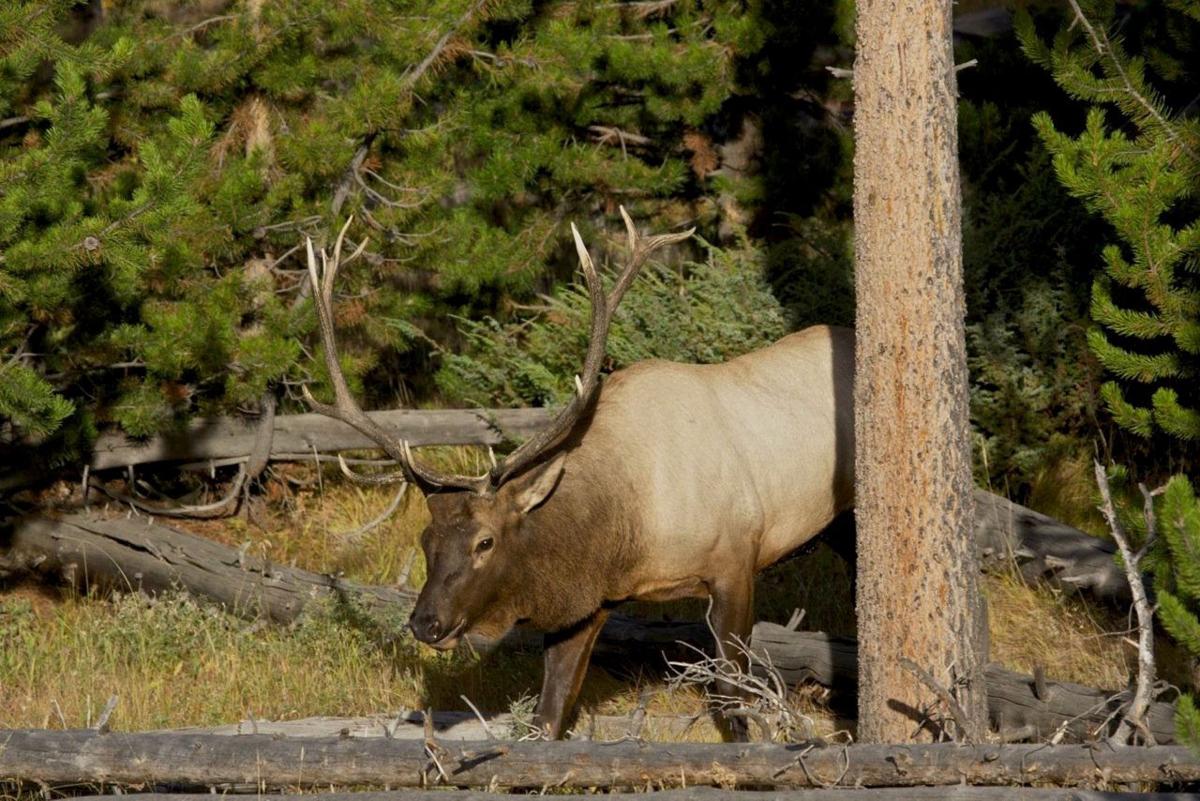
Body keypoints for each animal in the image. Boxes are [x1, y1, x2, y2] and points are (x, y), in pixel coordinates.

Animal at [304, 211, 859, 738]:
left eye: (485, 541)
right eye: (424, 539)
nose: (425, 623)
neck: (627, 531)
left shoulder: (736, 558)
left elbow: (731, 694)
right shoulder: (590, 601)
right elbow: (549, 713)